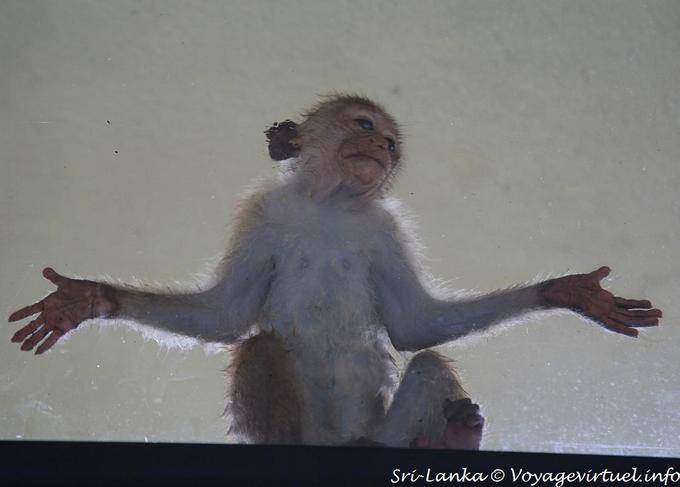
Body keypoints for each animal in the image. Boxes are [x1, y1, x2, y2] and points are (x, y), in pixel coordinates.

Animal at [8, 94, 662, 449]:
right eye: (364, 126)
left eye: (391, 144)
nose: (383, 152)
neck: (330, 204)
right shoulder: (263, 213)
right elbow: (226, 316)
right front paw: (87, 300)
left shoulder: (386, 228)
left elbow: (417, 328)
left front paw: (569, 292)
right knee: (260, 347)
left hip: (376, 434)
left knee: (427, 367)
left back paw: (447, 436)